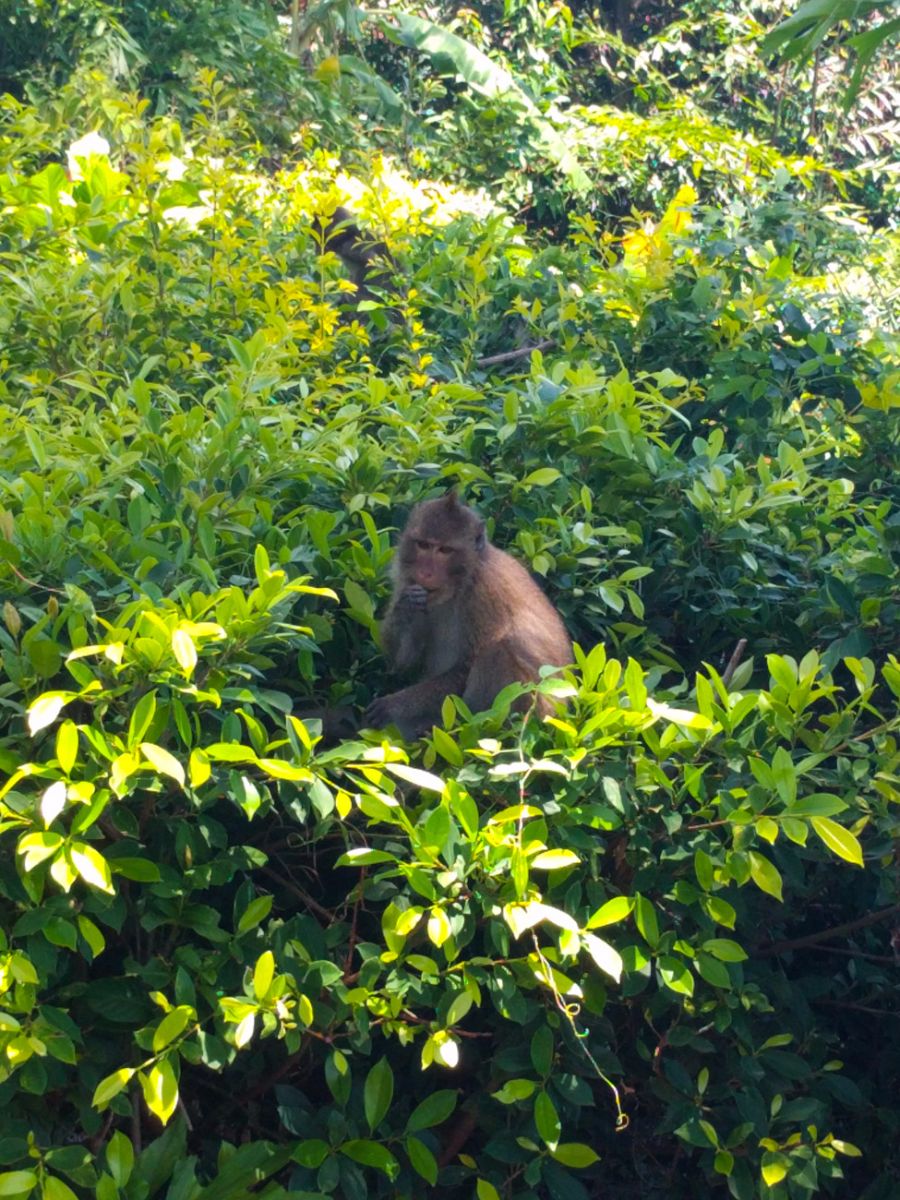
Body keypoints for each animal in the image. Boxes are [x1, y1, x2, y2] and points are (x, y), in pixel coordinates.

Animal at [364, 492, 572, 739]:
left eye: (445, 550)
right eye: (423, 545)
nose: (425, 572)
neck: (459, 584)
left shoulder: (485, 592)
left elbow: (466, 665)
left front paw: (393, 706)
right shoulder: (405, 580)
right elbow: (403, 664)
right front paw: (406, 607)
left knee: (498, 651)